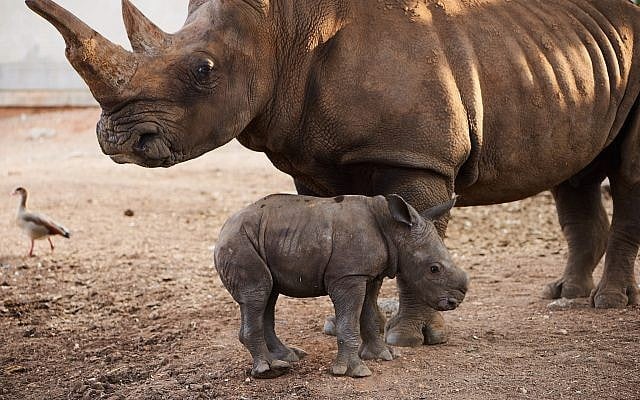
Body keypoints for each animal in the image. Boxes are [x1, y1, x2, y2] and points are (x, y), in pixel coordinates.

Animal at [26, 0, 640, 347]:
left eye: (203, 70)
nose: (117, 141)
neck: (281, 31)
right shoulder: (311, 157)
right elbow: (343, 229)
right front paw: (339, 326)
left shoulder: (416, 156)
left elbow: (420, 237)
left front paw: (408, 339)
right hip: (567, 64)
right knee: (575, 174)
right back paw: (565, 295)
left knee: (627, 176)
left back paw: (605, 305)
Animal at [214, 193, 467, 378]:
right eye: (434, 269)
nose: (455, 301)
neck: (395, 230)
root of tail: (223, 229)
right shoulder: (348, 276)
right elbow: (348, 323)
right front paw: (355, 371)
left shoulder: (368, 275)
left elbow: (369, 315)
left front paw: (383, 355)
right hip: (240, 243)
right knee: (257, 294)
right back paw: (269, 370)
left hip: (263, 239)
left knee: (268, 296)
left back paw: (289, 357)